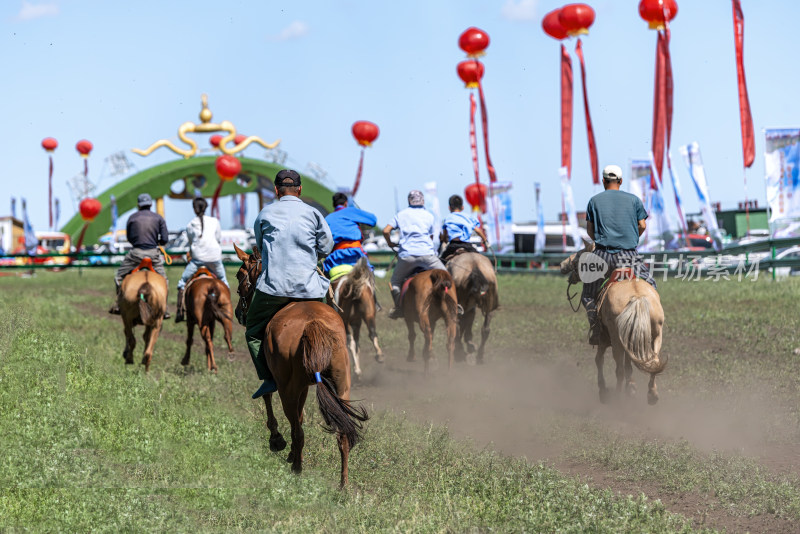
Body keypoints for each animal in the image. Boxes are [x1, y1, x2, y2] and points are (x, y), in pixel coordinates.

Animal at [231, 245, 368, 488]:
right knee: (341, 432)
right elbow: (302, 415)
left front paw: (277, 441)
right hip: (341, 385)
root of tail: (312, 324)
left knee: (297, 429)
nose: (239, 312)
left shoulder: (281, 381)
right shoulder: (304, 386)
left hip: (287, 388)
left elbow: (268, 397)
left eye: (240, 273)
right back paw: (343, 484)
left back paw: (296, 469)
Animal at [564, 244, 668, 406]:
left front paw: (604, 391)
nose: (564, 266)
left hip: (616, 339)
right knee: (653, 361)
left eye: (580, 256)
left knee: (618, 369)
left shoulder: (603, 339)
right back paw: (652, 395)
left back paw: (618, 398)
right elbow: (628, 364)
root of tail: (637, 297)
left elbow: (599, 360)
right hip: (656, 334)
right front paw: (631, 387)